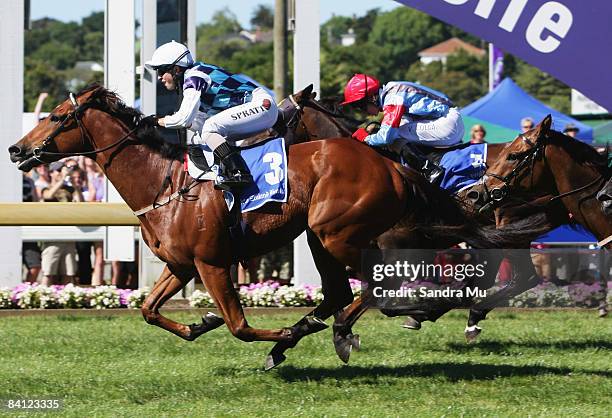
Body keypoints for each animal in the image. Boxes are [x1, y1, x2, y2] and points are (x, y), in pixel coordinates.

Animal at [9, 85, 528, 370]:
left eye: (57, 117)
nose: (16, 149)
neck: (166, 183)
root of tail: (393, 165)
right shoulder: (180, 266)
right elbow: (149, 311)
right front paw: (202, 322)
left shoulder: (212, 262)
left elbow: (239, 326)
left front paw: (273, 336)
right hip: (322, 237)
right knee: (347, 291)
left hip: (339, 232)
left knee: (381, 283)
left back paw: (345, 328)